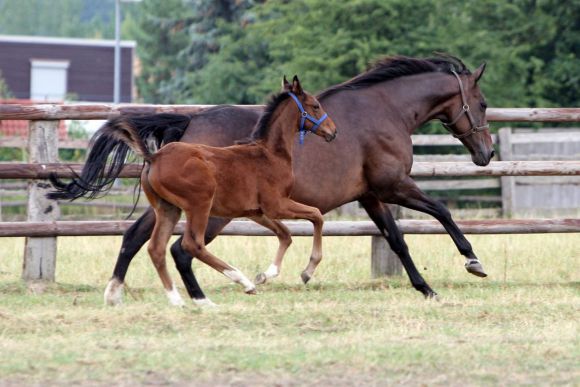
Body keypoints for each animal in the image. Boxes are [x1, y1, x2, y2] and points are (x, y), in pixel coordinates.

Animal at [51, 56, 494, 308]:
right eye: (484, 103)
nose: (486, 153)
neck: (386, 110)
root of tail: (189, 123)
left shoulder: (372, 196)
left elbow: (397, 240)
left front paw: (426, 288)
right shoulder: (393, 185)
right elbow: (441, 211)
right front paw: (473, 261)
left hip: (170, 206)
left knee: (136, 237)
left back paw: (118, 292)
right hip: (211, 213)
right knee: (181, 248)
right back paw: (215, 291)